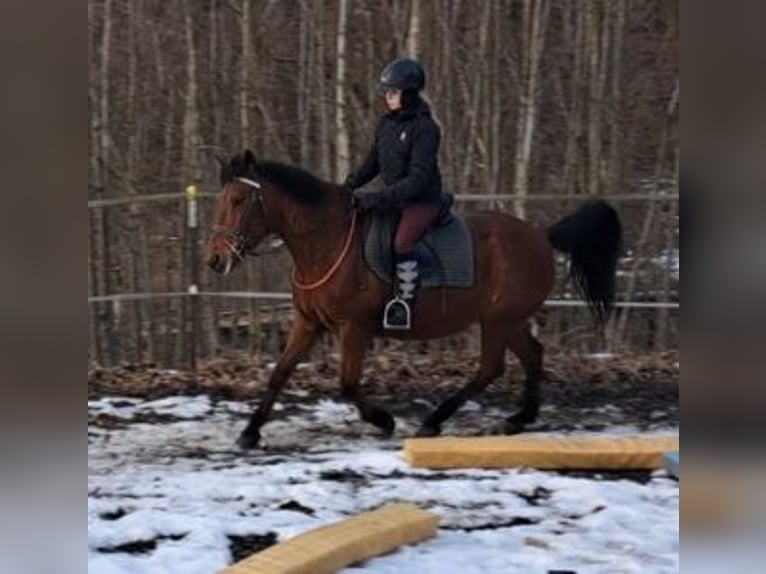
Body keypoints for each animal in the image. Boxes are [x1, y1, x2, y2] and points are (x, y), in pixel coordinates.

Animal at [206, 150, 622, 449]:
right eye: (221, 199)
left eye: (239, 199)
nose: (215, 260)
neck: (327, 241)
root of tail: (541, 235)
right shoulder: (308, 323)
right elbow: (279, 372)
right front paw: (249, 432)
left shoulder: (353, 328)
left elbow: (347, 382)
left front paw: (384, 419)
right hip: (508, 320)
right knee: (532, 354)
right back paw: (518, 419)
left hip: (497, 321)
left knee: (490, 369)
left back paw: (434, 421)